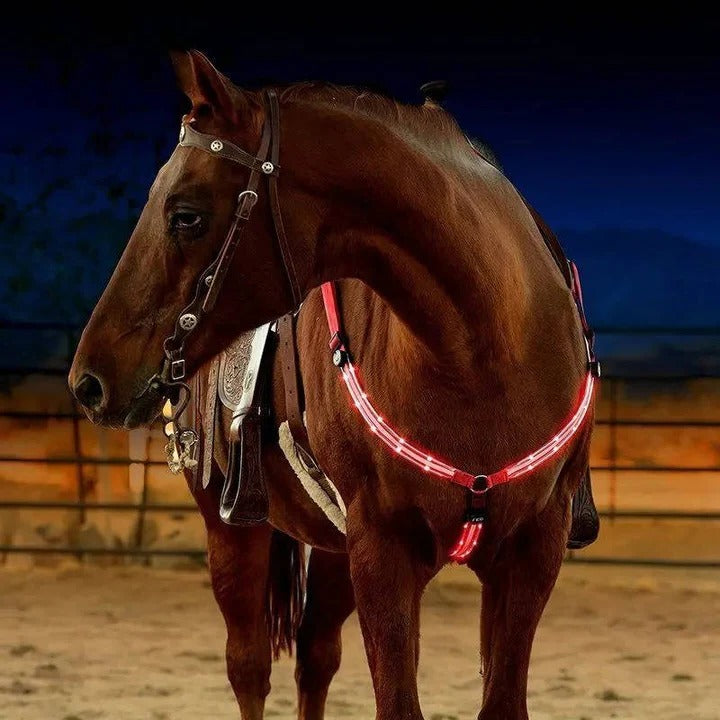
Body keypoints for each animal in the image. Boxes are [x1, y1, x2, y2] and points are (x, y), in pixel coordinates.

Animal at [69, 50, 597, 720]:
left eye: (185, 215)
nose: (89, 381)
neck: (484, 353)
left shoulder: (531, 551)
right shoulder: (383, 551)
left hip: (334, 551)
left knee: (315, 658)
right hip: (234, 529)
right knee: (249, 667)